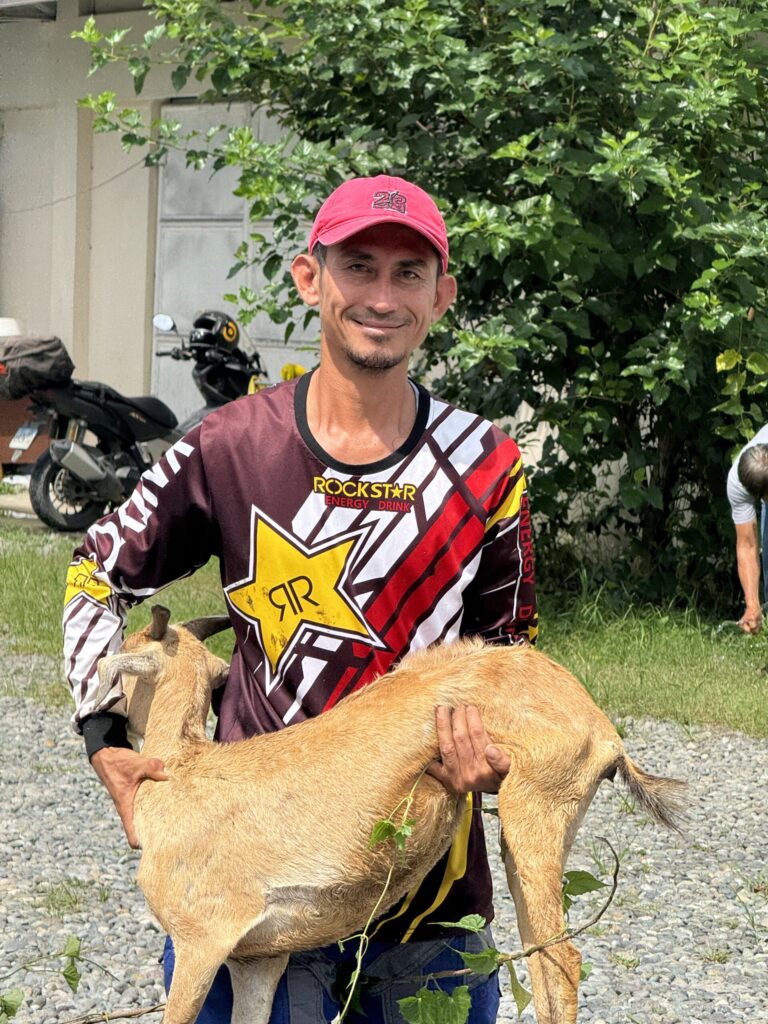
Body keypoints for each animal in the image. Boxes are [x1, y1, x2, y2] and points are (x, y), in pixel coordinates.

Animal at [96, 605, 685, 1024]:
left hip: (534, 813)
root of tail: (603, 730)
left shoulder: (201, 942)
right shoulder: (256, 960)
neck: (181, 772)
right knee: (542, 961)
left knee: (562, 964)